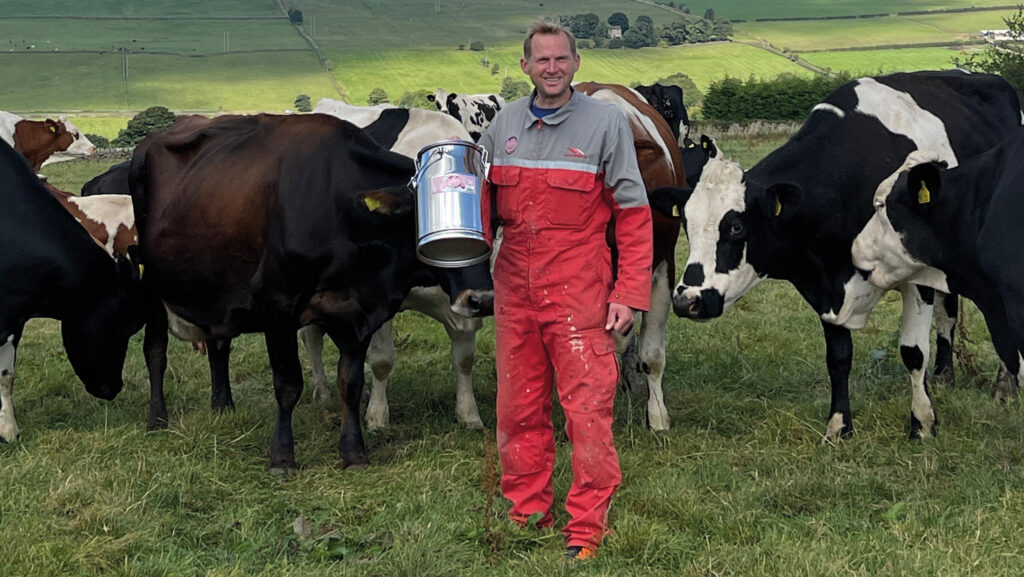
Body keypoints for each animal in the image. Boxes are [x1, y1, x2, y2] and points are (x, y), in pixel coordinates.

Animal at [128, 114, 495, 473]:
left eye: (494, 225)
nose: (482, 299)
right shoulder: (277, 303)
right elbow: (288, 384)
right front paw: (282, 458)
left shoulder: (359, 311)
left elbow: (351, 383)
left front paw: (354, 452)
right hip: (151, 286)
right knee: (155, 351)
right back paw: (157, 418)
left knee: (219, 345)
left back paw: (223, 407)